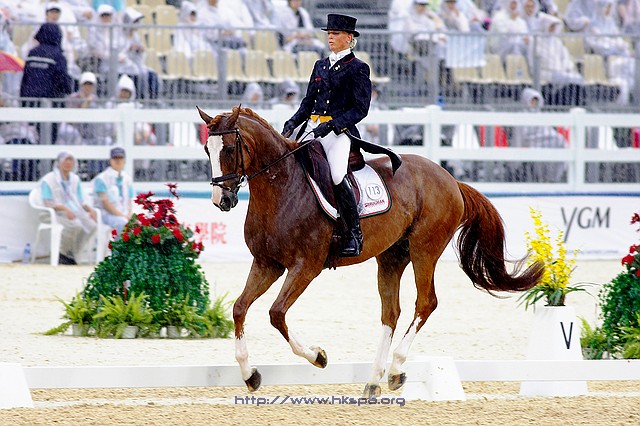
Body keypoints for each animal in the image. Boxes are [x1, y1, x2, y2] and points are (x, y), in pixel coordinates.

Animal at [197, 106, 544, 398]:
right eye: (206, 150)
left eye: (229, 149)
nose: (222, 201)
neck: (281, 187)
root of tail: (450, 179)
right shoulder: (266, 264)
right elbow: (240, 308)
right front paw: (250, 375)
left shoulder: (305, 266)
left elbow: (276, 313)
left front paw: (318, 357)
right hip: (392, 257)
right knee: (391, 312)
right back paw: (374, 380)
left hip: (425, 249)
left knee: (425, 303)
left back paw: (396, 370)